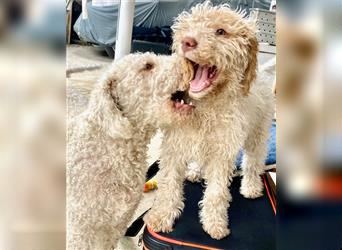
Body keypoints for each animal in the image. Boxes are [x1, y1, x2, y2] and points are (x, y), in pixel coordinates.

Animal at [144, 2, 276, 240]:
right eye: (186, 28)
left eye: (221, 31)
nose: (187, 41)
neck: (205, 106)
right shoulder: (175, 146)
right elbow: (168, 184)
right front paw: (162, 216)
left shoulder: (222, 152)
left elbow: (216, 192)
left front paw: (215, 223)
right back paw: (195, 171)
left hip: (258, 132)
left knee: (253, 160)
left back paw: (251, 186)